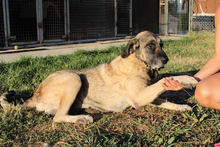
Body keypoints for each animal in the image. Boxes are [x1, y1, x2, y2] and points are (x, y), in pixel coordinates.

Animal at [0, 30, 199, 123]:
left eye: (161, 44)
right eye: (150, 45)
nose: (166, 60)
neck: (138, 63)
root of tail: (35, 95)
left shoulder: (144, 96)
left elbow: (165, 100)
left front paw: (180, 106)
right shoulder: (138, 96)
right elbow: (163, 85)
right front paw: (186, 79)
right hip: (74, 79)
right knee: (58, 118)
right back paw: (82, 118)